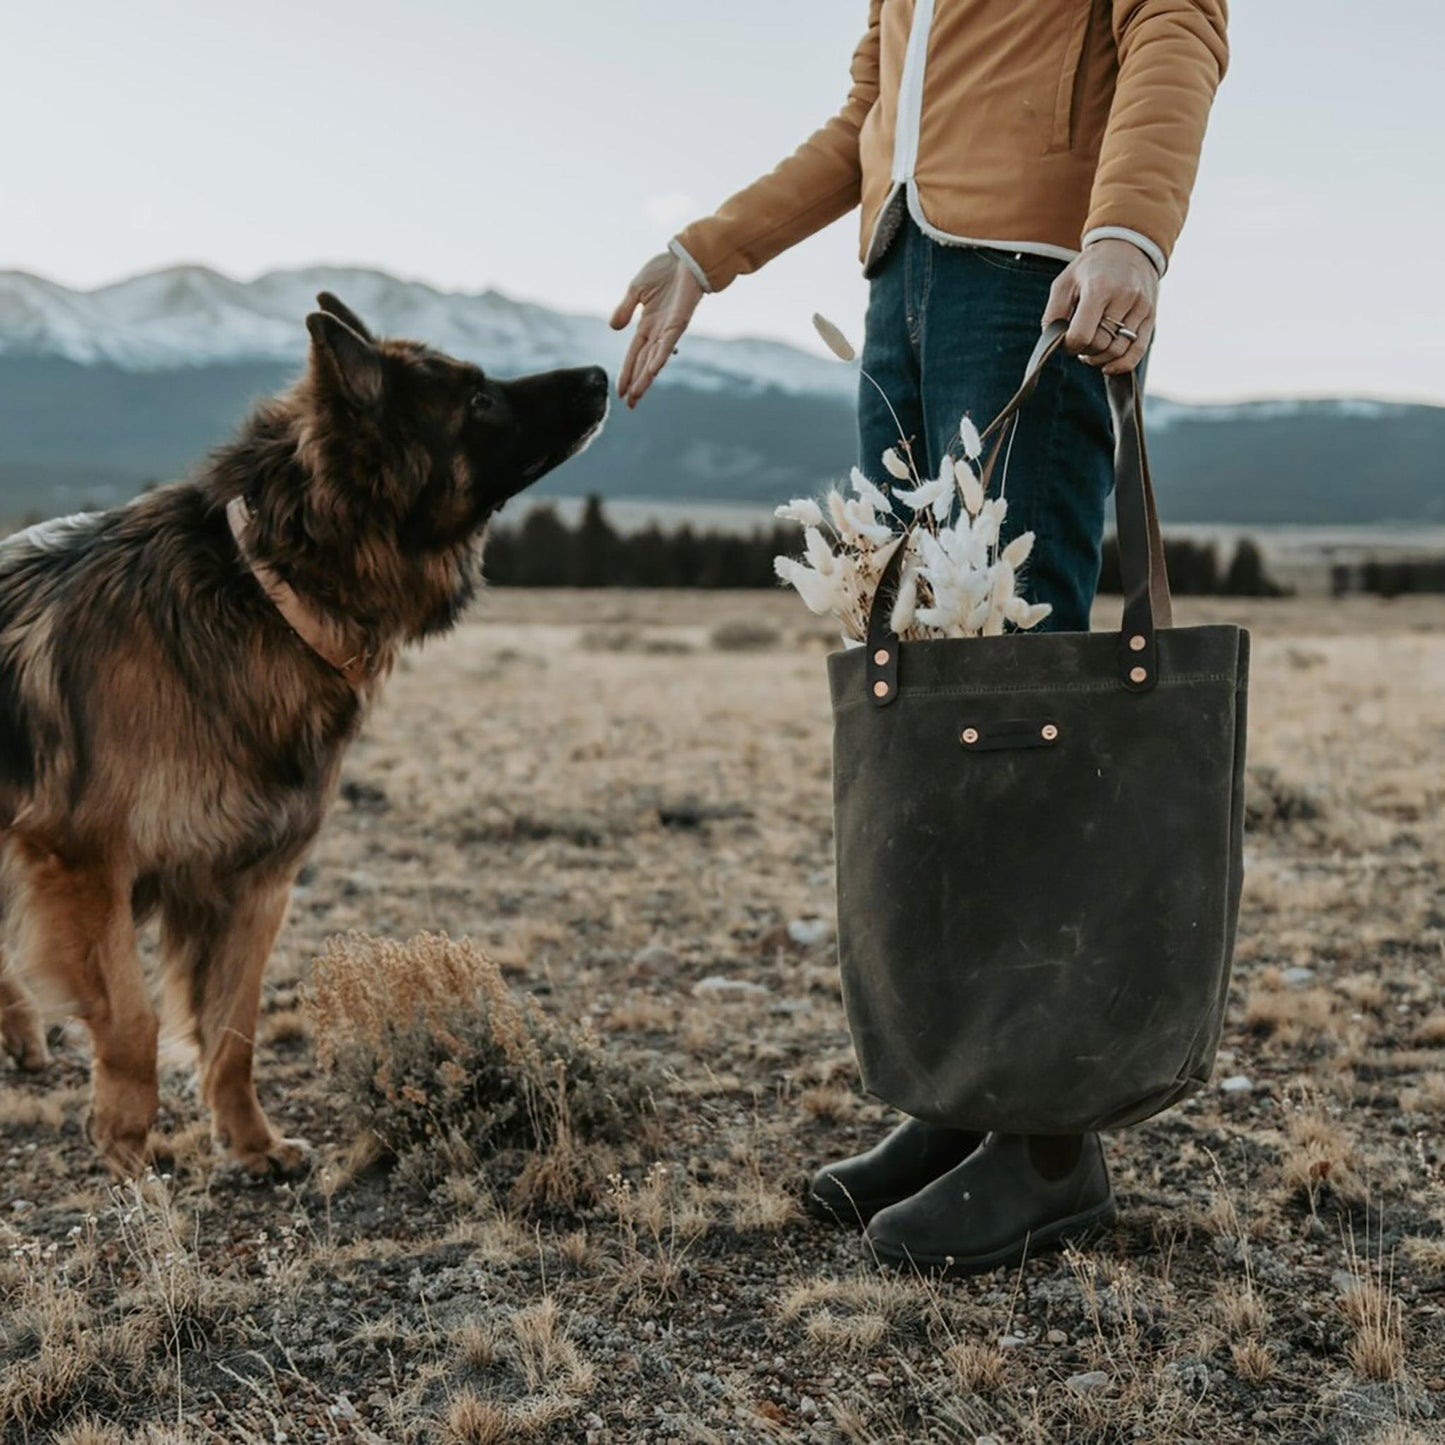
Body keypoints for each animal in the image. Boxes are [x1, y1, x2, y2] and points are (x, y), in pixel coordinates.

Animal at [0, 293, 604, 1173]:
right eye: (477, 398)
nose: (599, 373)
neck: (263, 589)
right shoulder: (83, 866)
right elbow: (135, 1021)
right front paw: (125, 1140)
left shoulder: (256, 880)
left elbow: (234, 1032)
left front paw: (251, 1142)